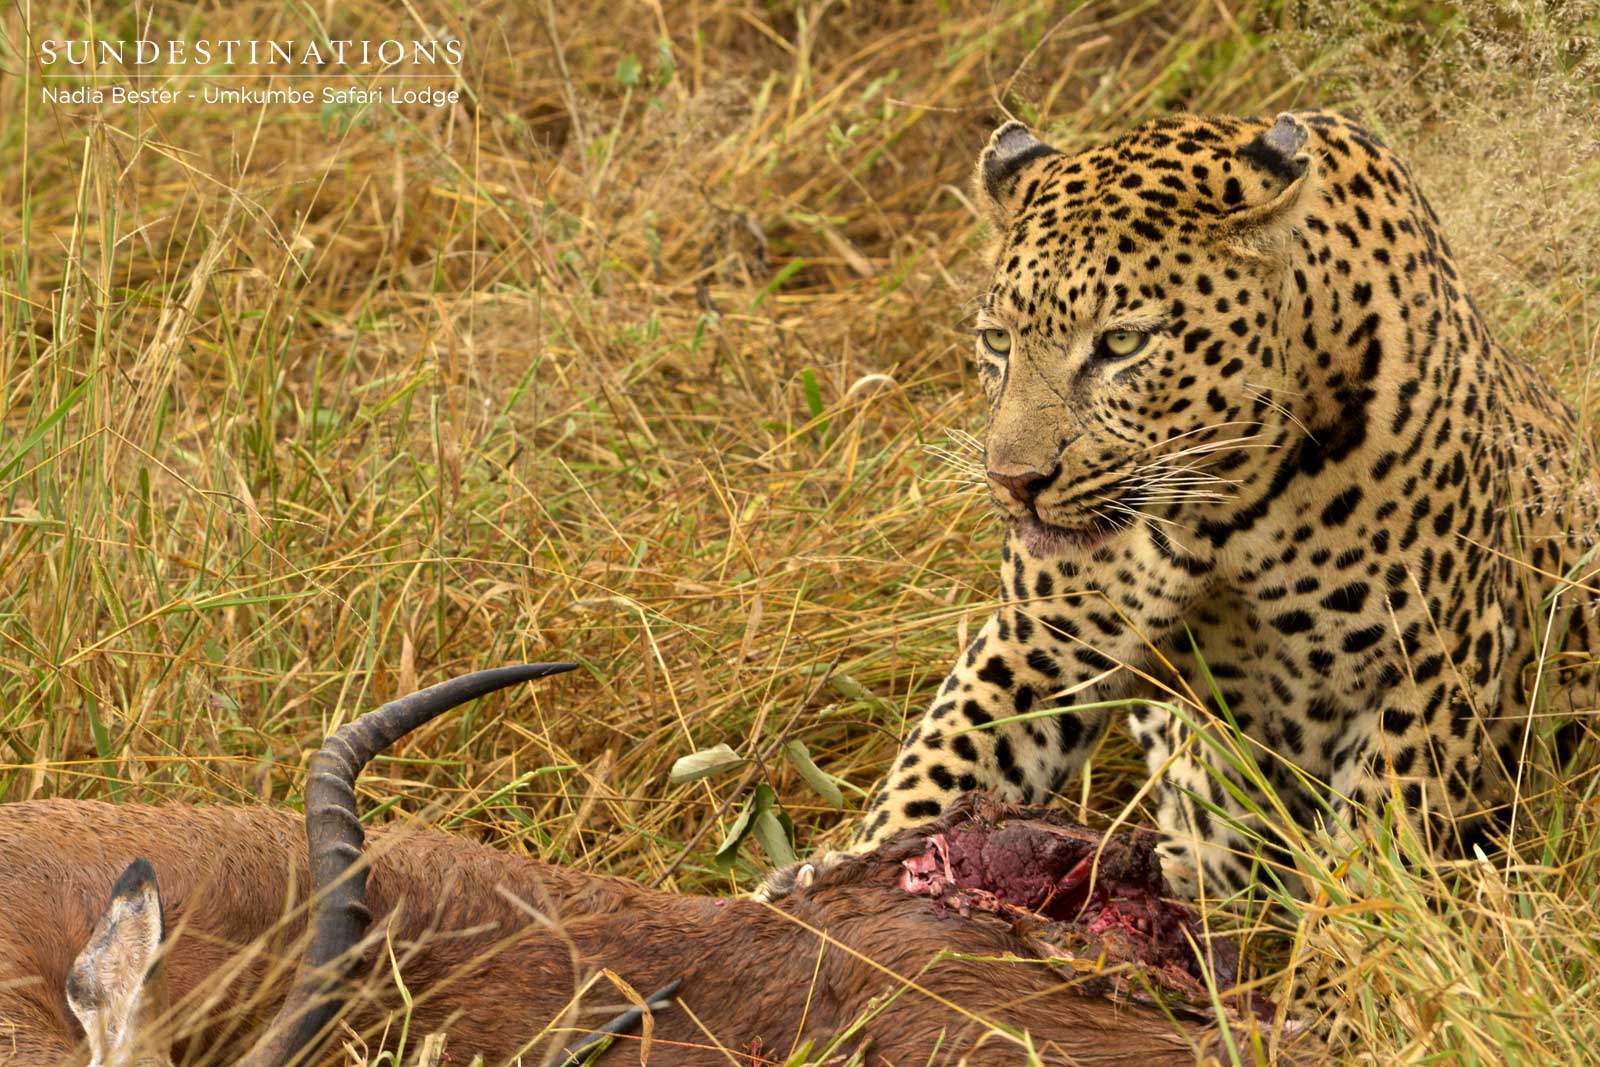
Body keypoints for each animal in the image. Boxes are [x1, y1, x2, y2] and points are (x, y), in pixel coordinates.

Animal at [755, 108, 1593, 915]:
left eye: (1122, 343)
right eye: (997, 340)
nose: (1014, 480)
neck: (1224, 506)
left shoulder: (1432, 670)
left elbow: (1376, 850)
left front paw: (1343, 957)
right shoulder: (1040, 637)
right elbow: (944, 760)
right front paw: (833, 886)